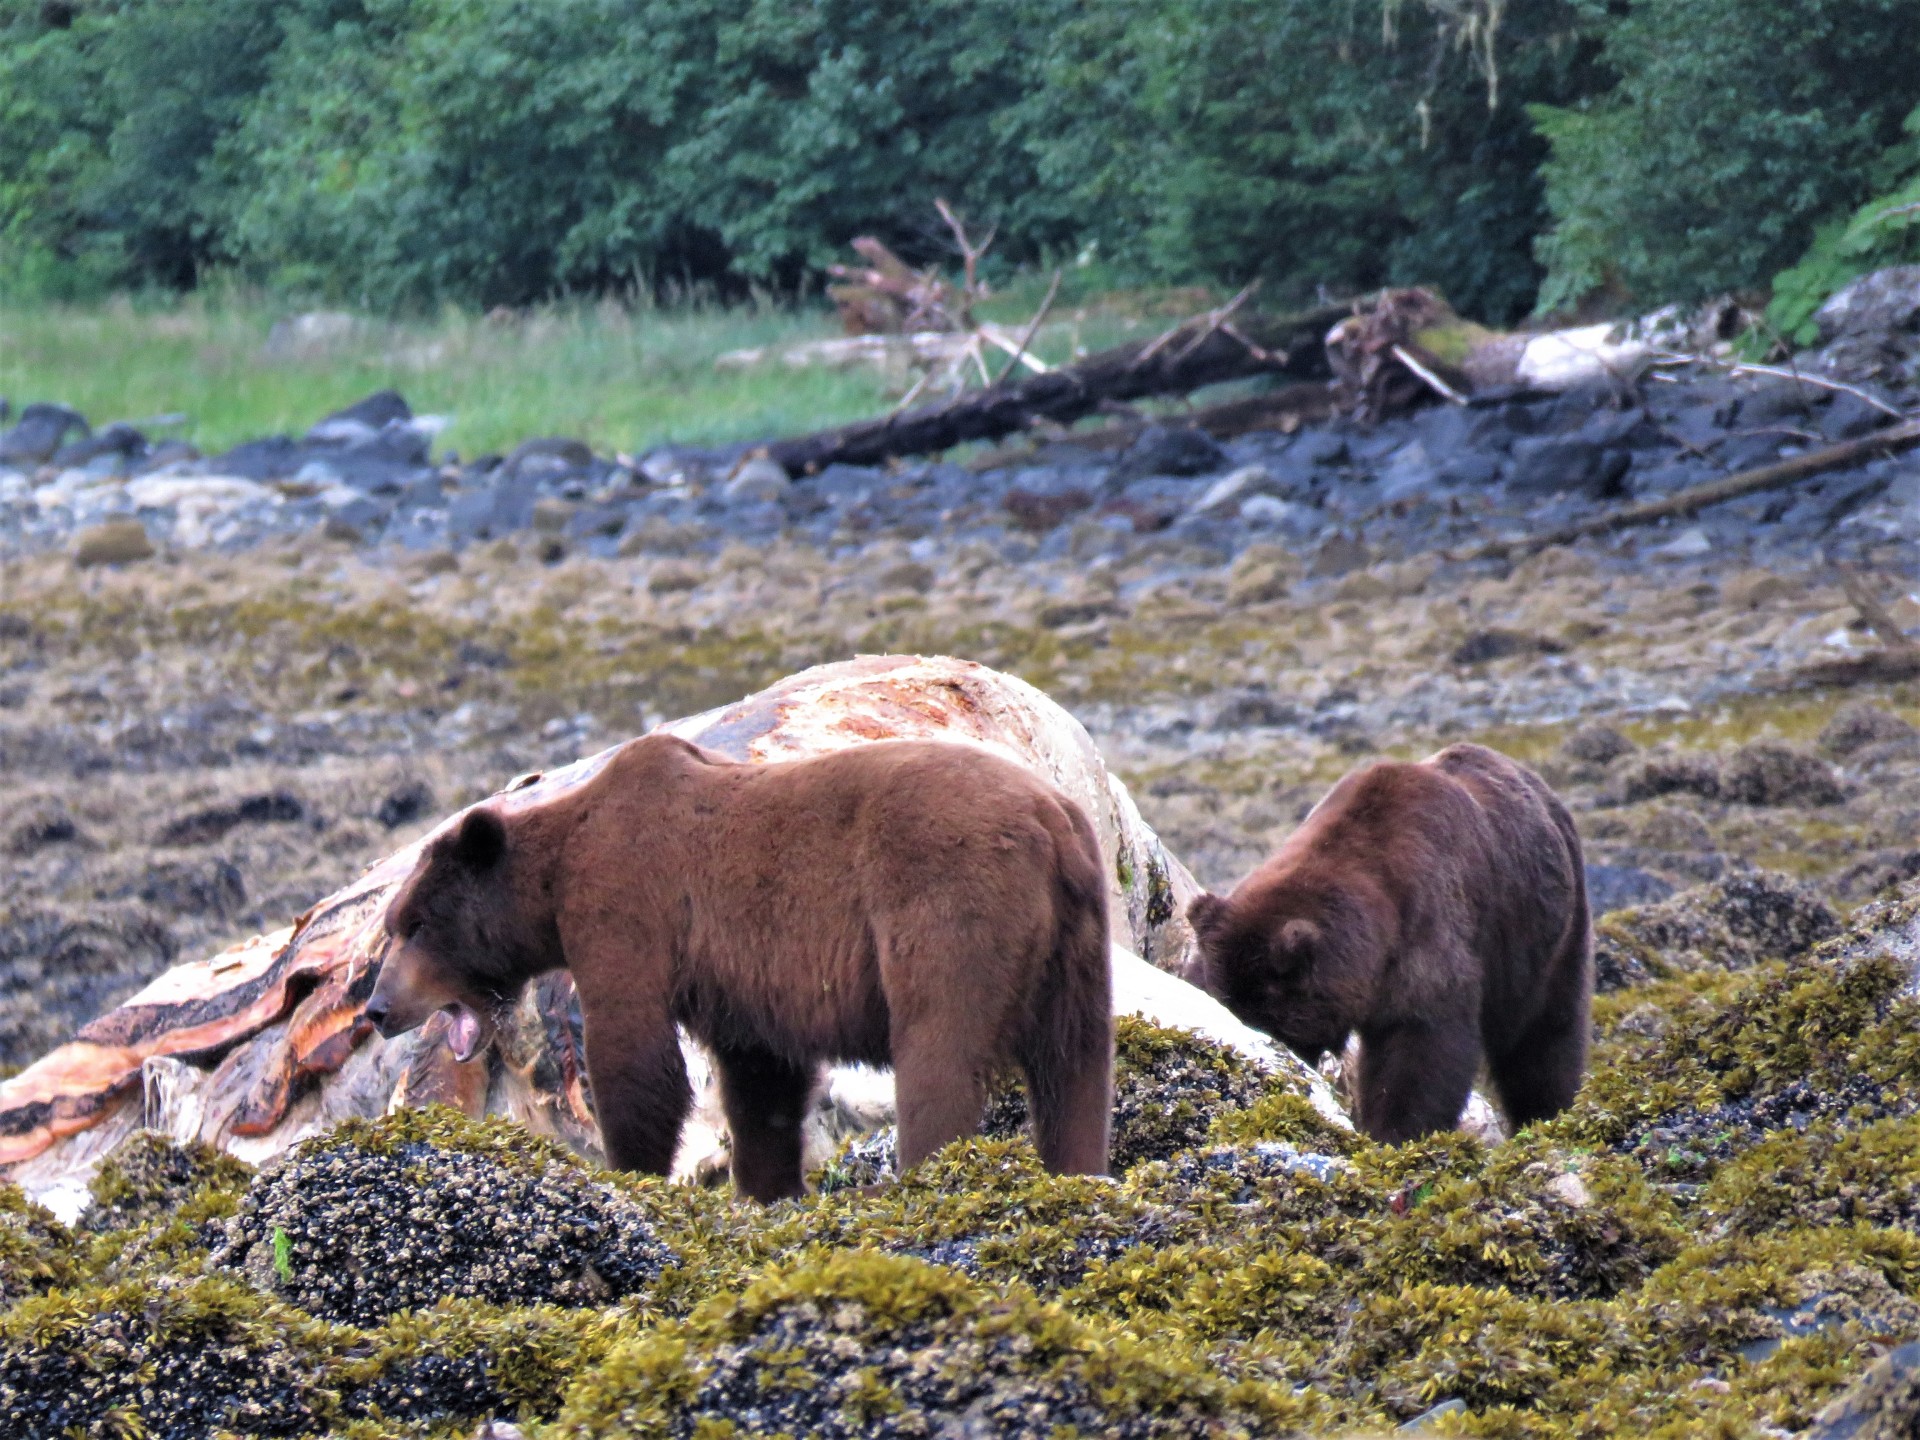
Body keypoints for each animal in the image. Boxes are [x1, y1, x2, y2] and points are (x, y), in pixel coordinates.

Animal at [362, 737, 1113, 1198]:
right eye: (394, 925)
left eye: (414, 924)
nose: (376, 1009)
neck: (555, 875)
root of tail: (1052, 822)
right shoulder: (741, 980)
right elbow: (761, 1081)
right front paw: (768, 1186)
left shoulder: (625, 904)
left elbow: (636, 1058)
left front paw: (633, 1169)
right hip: (1077, 942)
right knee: (1075, 1067)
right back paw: (1079, 1170)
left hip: (949, 905)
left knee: (940, 1048)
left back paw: (925, 1168)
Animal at [1182, 748, 1589, 1144]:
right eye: (1222, 1004)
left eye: (1268, 1022)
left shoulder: (1426, 935)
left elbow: (1419, 1045)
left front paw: (1393, 1132)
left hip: (1541, 938)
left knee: (1544, 1035)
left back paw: (1546, 1112)